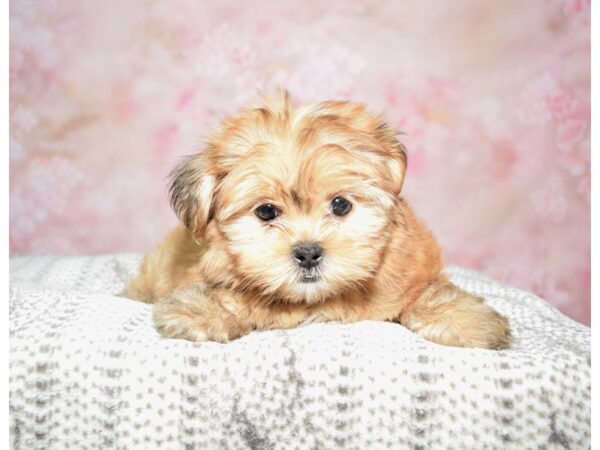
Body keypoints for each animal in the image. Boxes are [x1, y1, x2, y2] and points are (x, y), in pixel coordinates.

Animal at [123, 92, 510, 352]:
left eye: (340, 205)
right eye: (266, 212)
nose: (308, 253)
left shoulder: (414, 267)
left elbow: (428, 292)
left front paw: (468, 320)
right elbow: (226, 295)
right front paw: (201, 312)